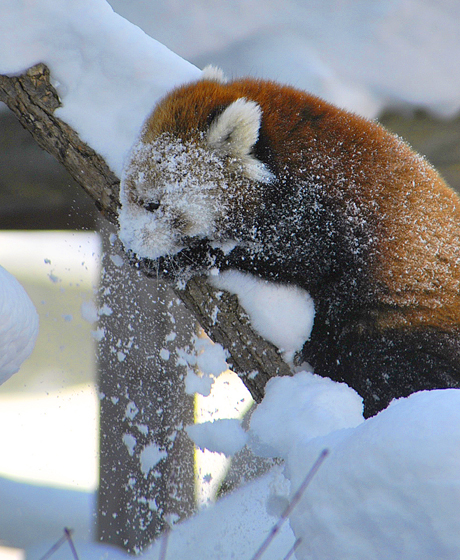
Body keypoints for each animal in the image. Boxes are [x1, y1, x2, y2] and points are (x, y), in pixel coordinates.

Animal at [119, 68, 460, 416]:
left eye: (152, 204)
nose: (128, 243)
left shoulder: (327, 212)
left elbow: (294, 257)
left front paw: (186, 257)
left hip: (404, 323)